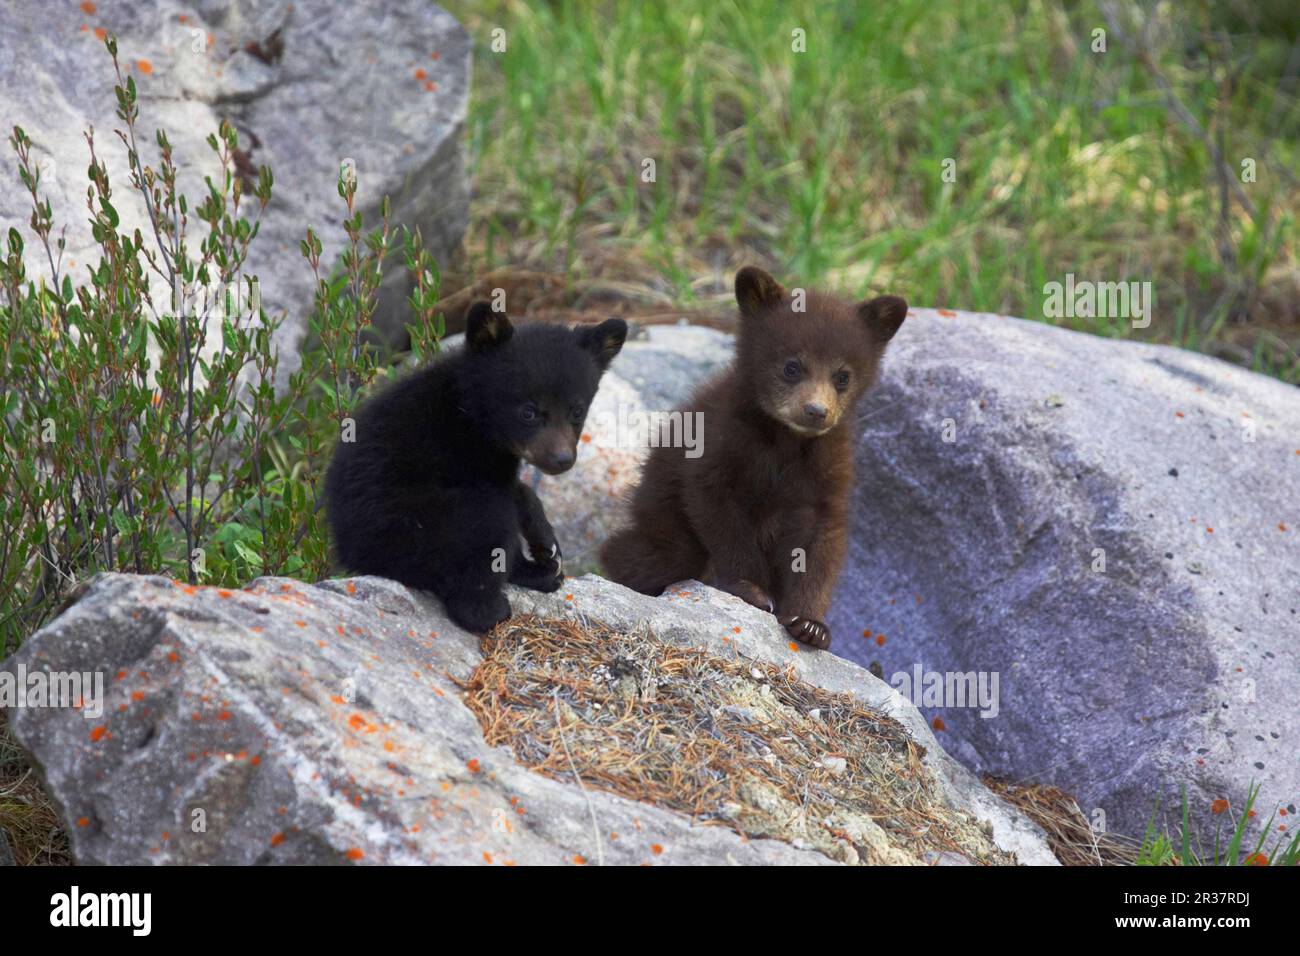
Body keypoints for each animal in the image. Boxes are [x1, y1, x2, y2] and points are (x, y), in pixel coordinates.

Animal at [325, 302, 627, 634]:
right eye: (528, 411)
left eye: (577, 410)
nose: (561, 459)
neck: (471, 413)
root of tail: (355, 554)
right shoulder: (472, 456)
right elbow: (507, 495)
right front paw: (542, 553)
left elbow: (518, 489)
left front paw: (547, 543)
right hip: (430, 522)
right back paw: (498, 606)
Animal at [600, 266, 906, 650]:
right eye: (792, 367)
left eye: (843, 376)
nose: (816, 411)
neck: (786, 441)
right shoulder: (718, 449)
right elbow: (722, 520)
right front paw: (751, 591)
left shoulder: (828, 476)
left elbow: (821, 546)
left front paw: (811, 624)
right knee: (642, 553)